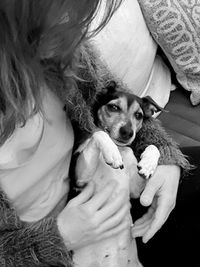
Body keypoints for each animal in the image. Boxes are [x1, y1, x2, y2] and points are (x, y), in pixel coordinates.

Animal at [70, 81, 170, 267]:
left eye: (138, 115)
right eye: (113, 107)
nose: (127, 132)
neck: (121, 148)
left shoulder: (135, 190)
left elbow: (154, 147)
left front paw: (148, 165)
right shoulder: (79, 179)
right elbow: (99, 133)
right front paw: (112, 153)